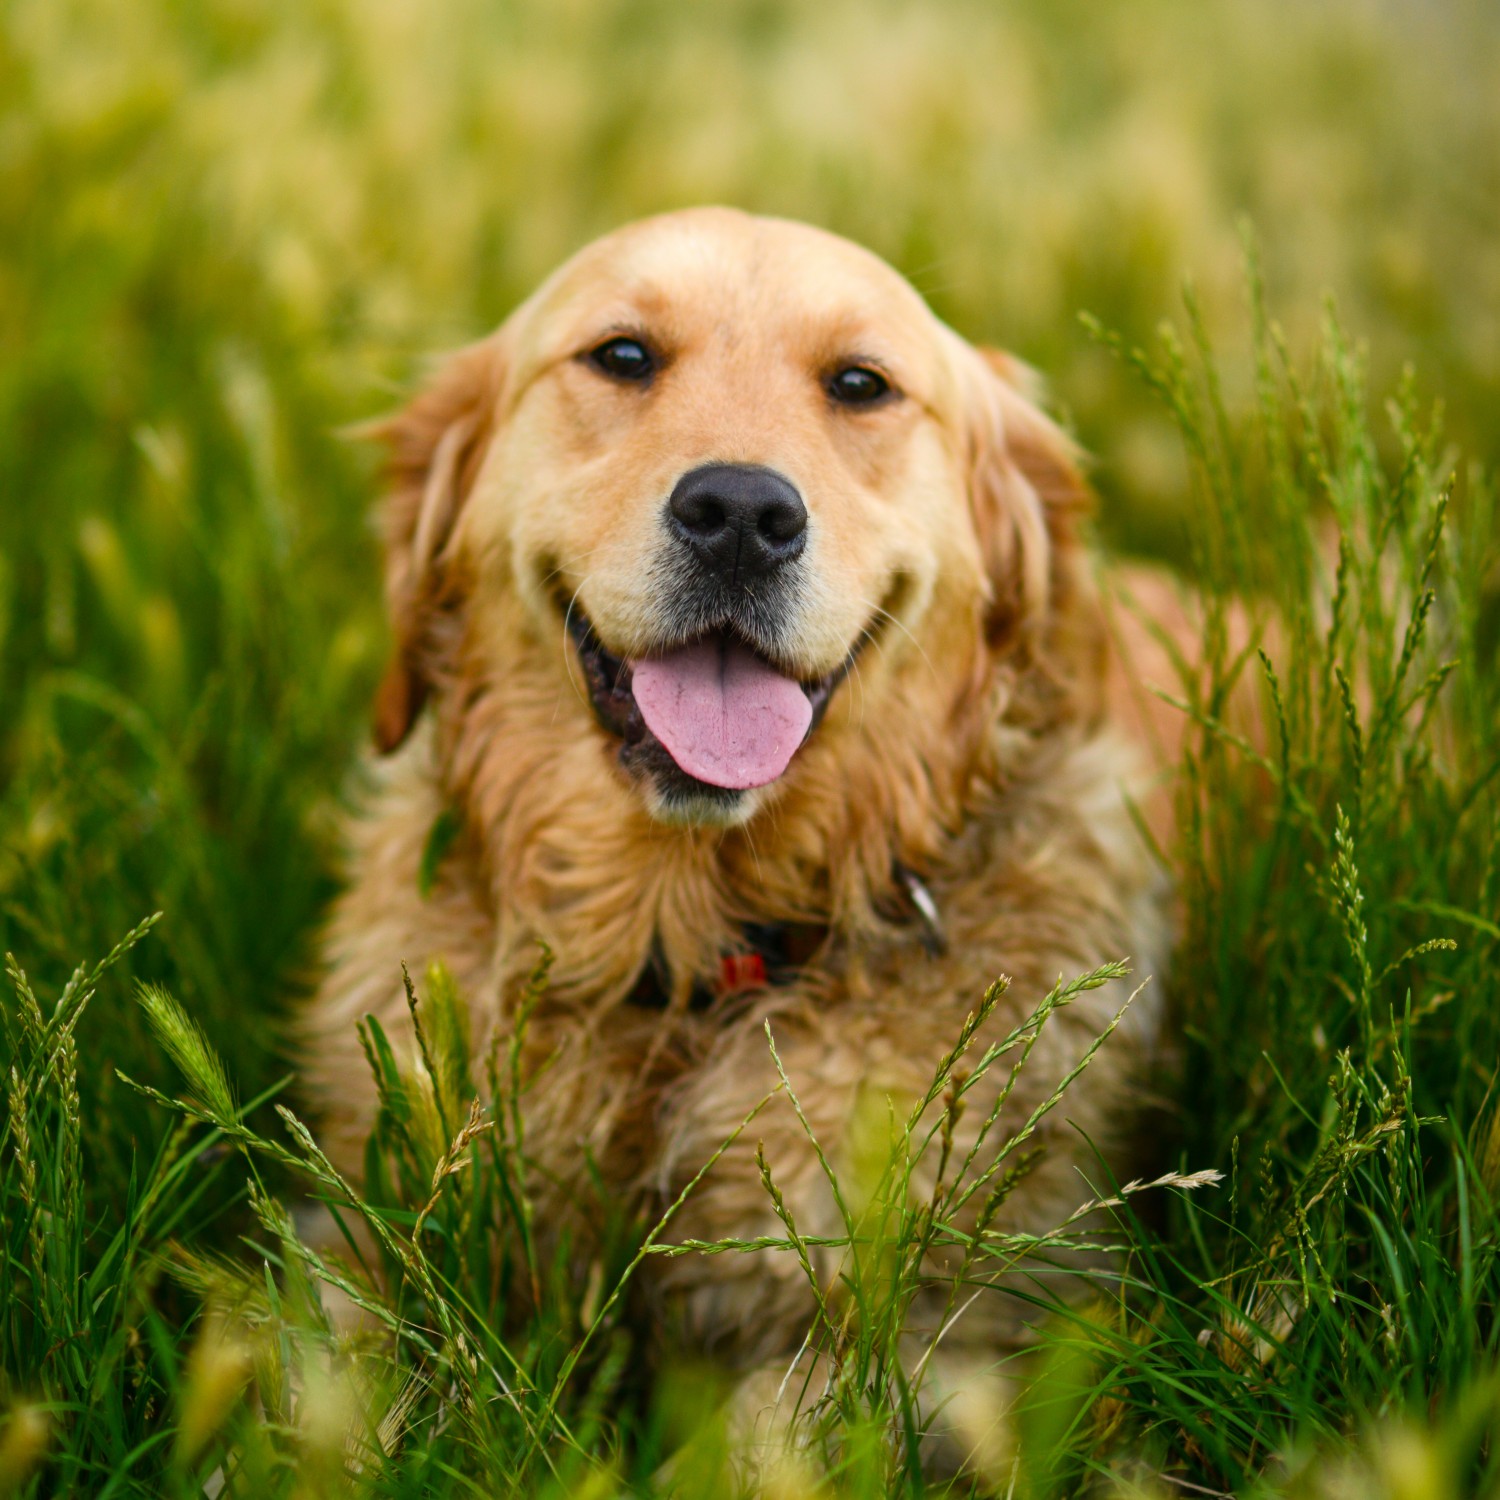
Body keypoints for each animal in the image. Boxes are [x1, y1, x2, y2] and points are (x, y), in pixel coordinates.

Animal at [301, 211, 1170, 1440]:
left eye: (860, 384)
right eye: (622, 356)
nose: (744, 518)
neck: (692, 961)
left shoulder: (998, 1327)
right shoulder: (367, 1222)